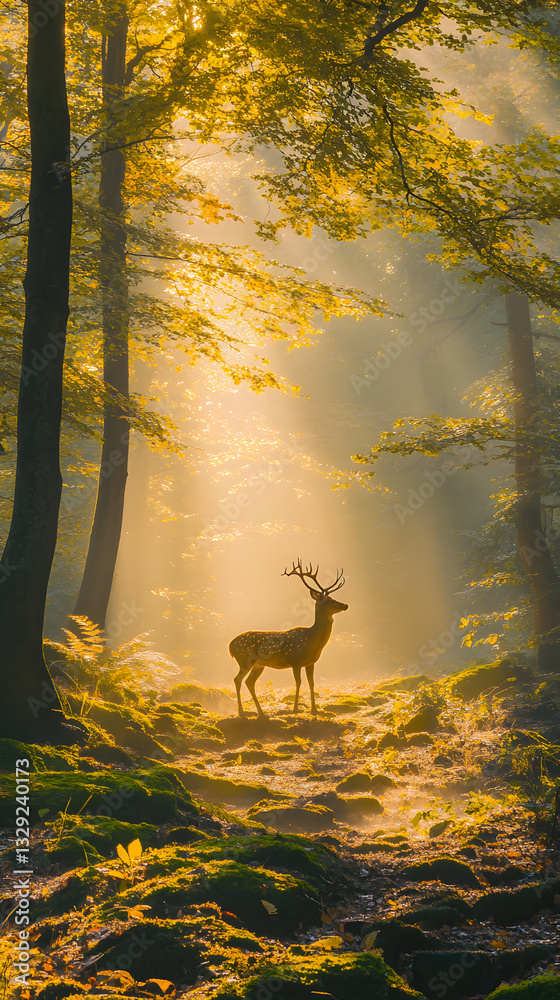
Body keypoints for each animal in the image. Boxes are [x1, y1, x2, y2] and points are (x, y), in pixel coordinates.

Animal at [229, 560, 348, 719]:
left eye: (332, 598)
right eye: (327, 600)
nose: (345, 605)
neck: (313, 642)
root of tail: (230, 645)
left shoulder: (311, 663)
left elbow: (312, 683)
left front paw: (314, 710)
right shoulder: (295, 660)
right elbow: (298, 683)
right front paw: (295, 709)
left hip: (259, 665)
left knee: (249, 682)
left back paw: (261, 713)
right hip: (244, 660)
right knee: (238, 679)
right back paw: (242, 713)